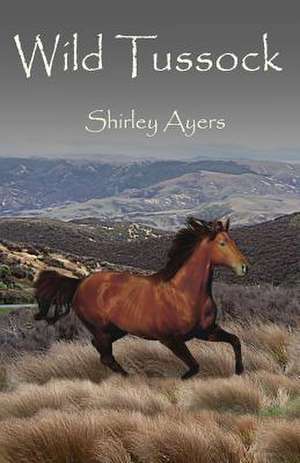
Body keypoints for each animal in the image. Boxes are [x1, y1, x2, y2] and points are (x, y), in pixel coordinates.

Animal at [34, 219, 248, 378]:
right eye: (222, 243)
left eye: (233, 240)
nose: (244, 267)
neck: (184, 294)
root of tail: (79, 283)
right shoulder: (170, 339)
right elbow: (194, 366)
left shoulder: (206, 331)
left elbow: (235, 340)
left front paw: (239, 371)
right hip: (101, 328)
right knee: (106, 356)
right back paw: (130, 377)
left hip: (117, 330)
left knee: (101, 350)